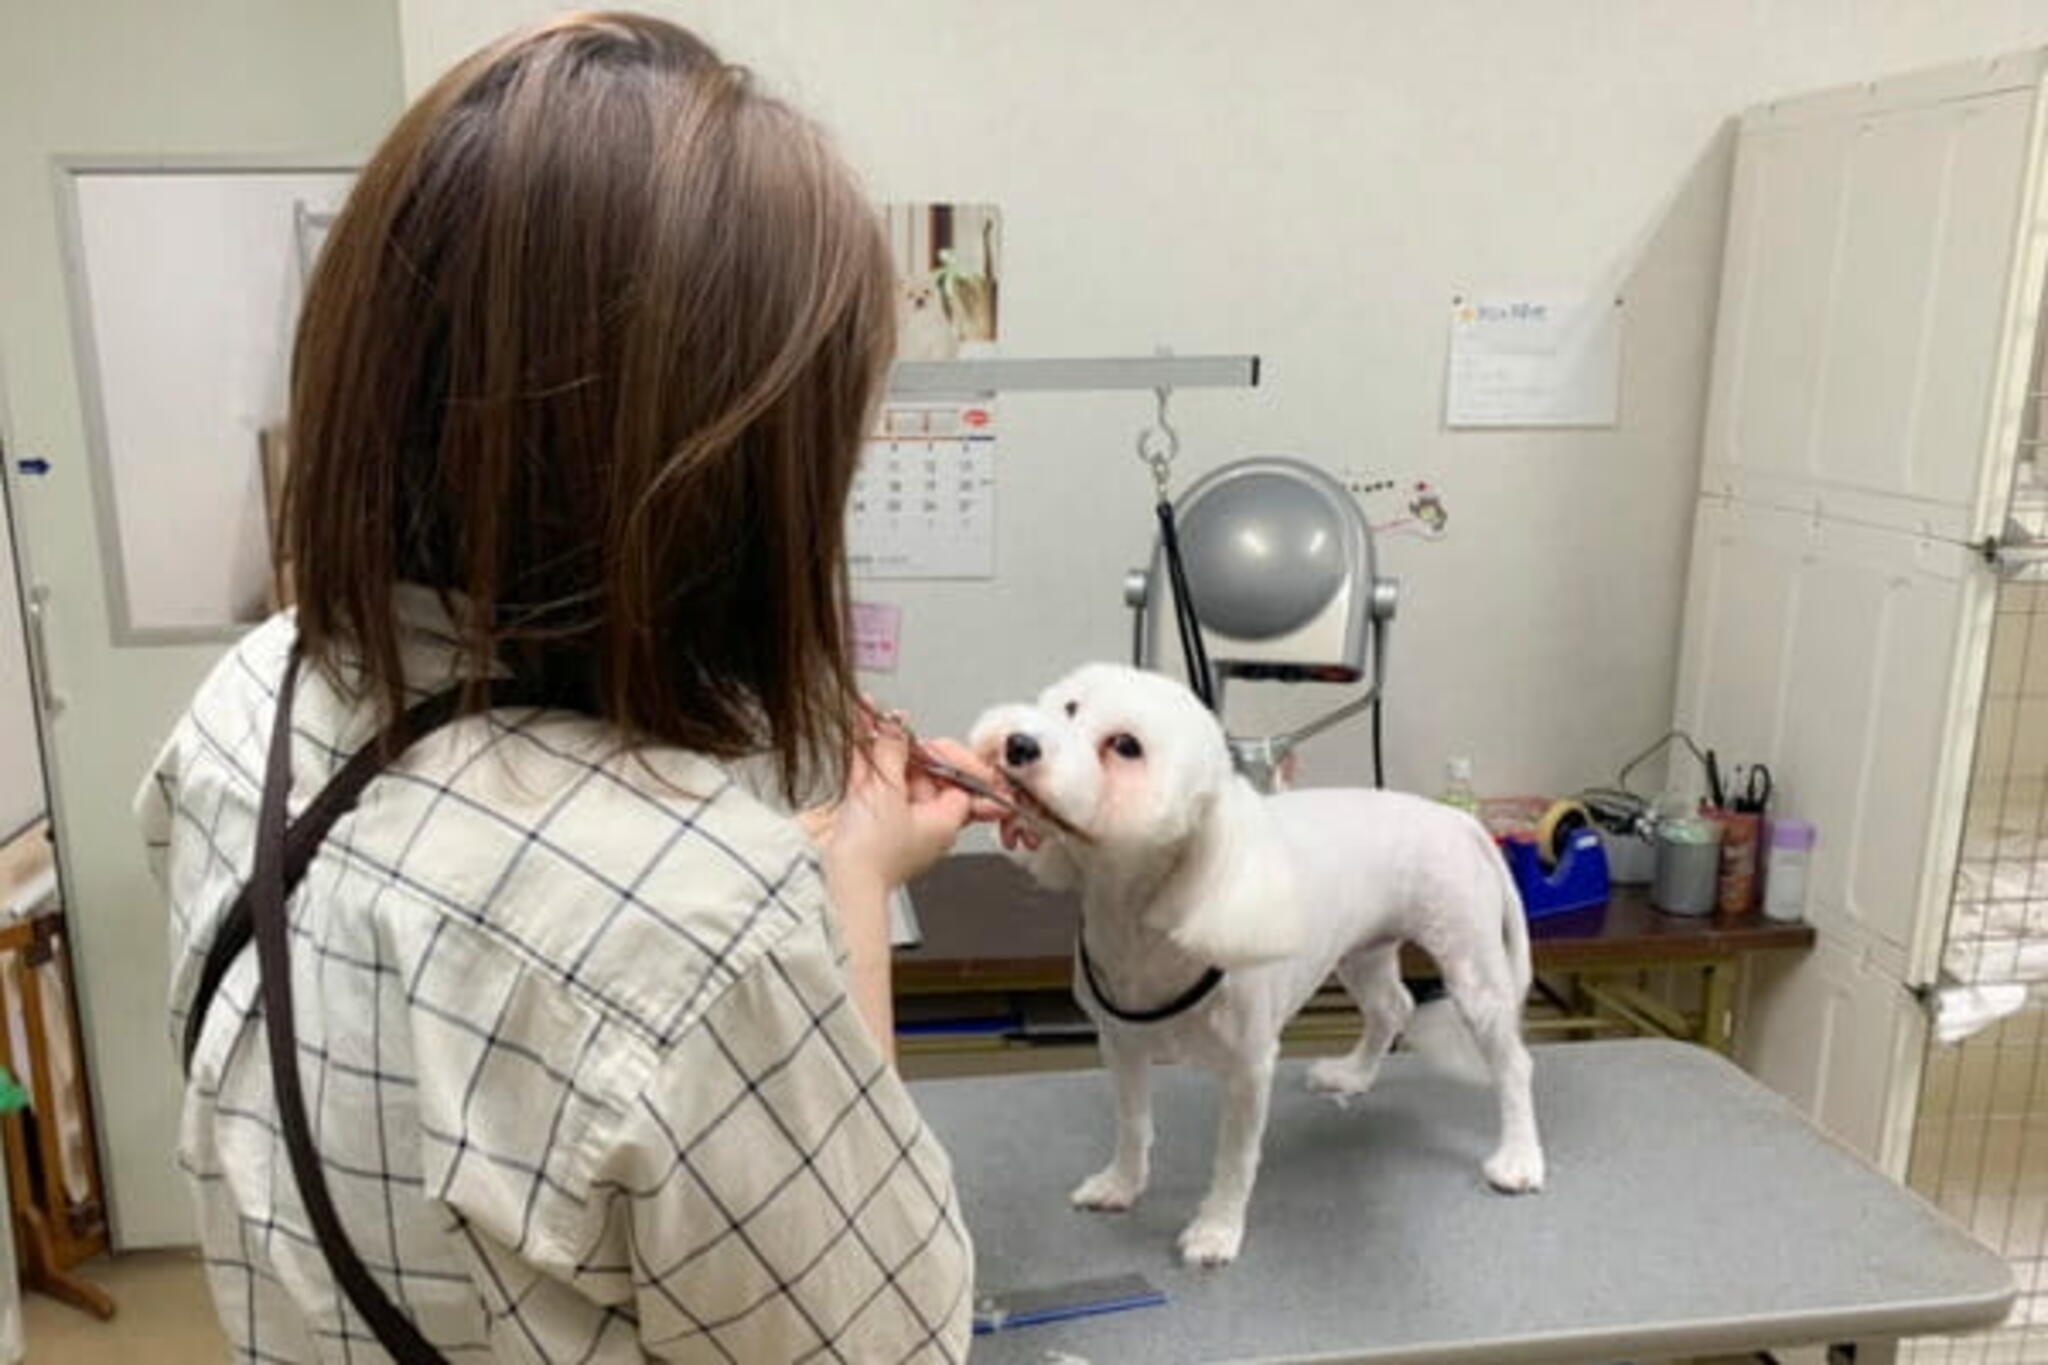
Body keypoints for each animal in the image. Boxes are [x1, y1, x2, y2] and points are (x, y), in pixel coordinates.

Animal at [966, 663, 1540, 1268]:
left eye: (1125, 746)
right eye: (1070, 707)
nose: (1019, 744)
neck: (1137, 916)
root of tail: (1460, 822)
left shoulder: (1249, 1067)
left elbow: (1235, 1161)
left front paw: (1217, 1230)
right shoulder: (1120, 1044)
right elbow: (1132, 1124)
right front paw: (1122, 1183)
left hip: (1470, 964)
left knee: (1513, 1063)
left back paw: (1520, 1156)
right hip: (1361, 949)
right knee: (1392, 1006)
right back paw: (1354, 1074)